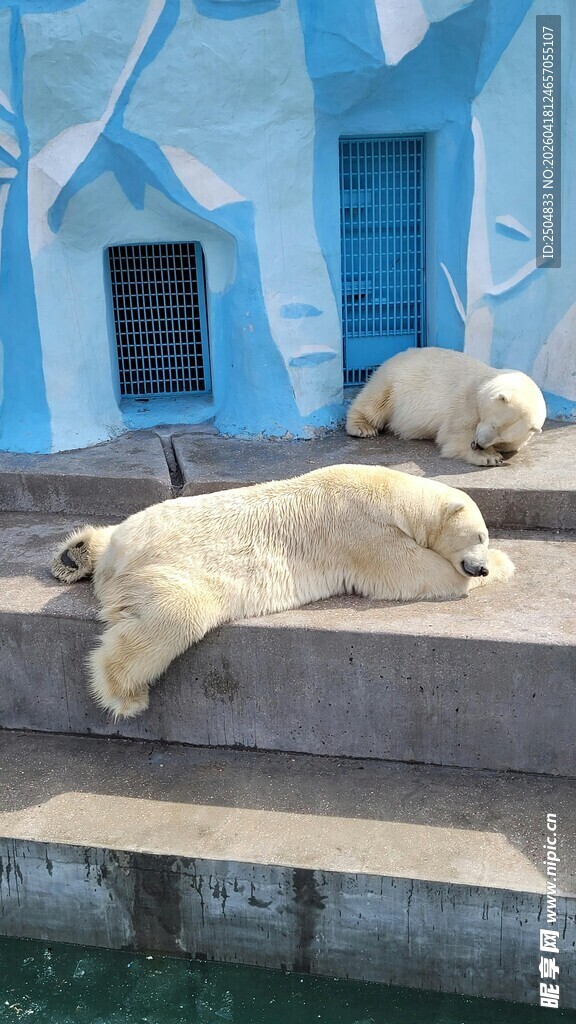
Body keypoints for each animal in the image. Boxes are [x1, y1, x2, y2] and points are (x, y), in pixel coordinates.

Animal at [51, 465, 514, 720]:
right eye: (479, 535)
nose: (482, 564)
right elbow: (411, 571)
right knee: (173, 616)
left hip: (133, 530)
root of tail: (117, 562)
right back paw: (125, 695)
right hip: (175, 572)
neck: (392, 494)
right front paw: (502, 566)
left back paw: (73, 556)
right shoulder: (363, 533)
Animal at [345, 348, 547, 466]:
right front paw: (489, 457)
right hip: (394, 381)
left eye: (502, 436)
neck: (486, 381)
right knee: (376, 400)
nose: (479, 444)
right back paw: (363, 427)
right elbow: (455, 432)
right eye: (494, 424)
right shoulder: (467, 399)